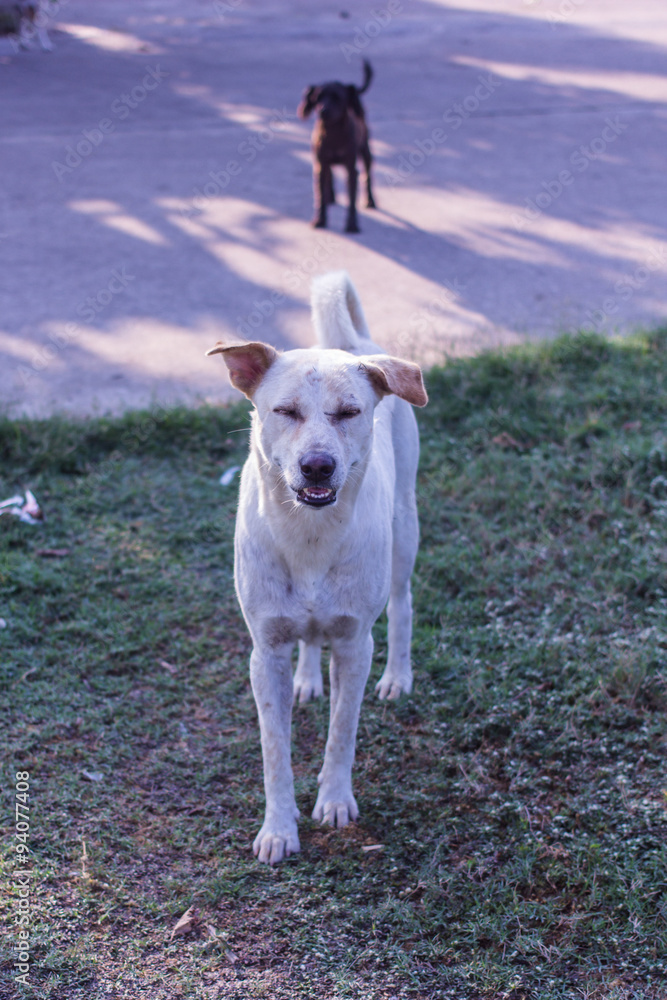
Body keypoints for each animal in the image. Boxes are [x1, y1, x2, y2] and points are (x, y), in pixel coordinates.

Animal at [209, 270, 428, 864]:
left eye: (349, 412)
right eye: (284, 411)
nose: (317, 466)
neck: (308, 536)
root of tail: (354, 345)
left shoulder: (355, 644)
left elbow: (341, 732)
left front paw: (333, 801)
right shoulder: (264, 651)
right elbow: (274, 751)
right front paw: (278, 829)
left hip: (405, 530)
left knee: (403, 603)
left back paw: (398, 676)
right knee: (309, 639)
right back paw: (307, 679)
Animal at [298, 61, 376, 234]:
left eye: (337, 98)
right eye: (317, 98)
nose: (323, 110)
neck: (333, 133)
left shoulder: (351, 169)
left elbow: (352, 200)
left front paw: (352, 225)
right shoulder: (320, 164)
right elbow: (319, 195)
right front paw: (319, 220)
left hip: (365, 150)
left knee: (367, 175)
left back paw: (370, 201)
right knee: (329, 175)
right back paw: (330, 197)